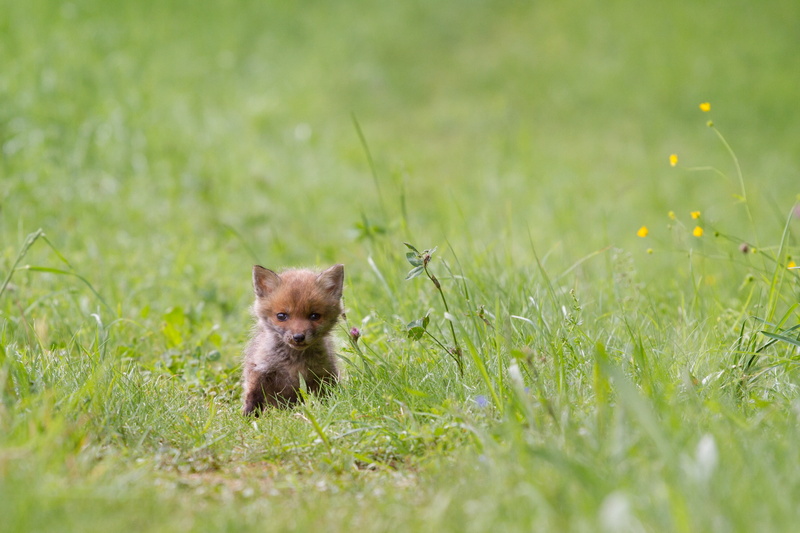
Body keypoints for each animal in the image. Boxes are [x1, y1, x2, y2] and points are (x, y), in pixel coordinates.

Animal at [241, 263, 344, 415]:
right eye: (281, 316)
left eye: (314, 316)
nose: (298, 337)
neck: (293, 362)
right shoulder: (260, 370)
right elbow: (253, 397)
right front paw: (248, 417)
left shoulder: (322, 374)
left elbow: (324, 397)